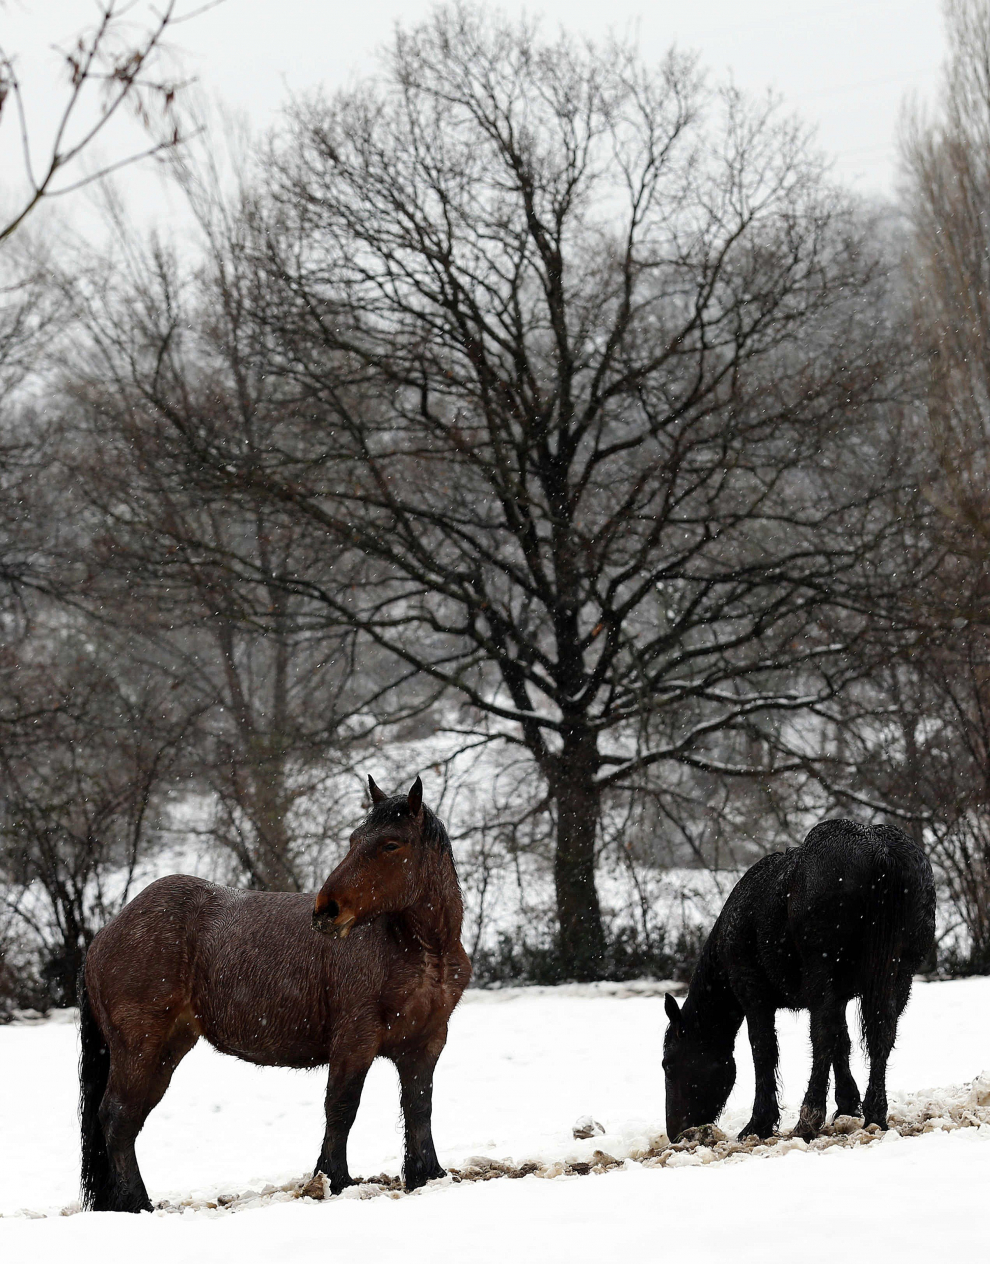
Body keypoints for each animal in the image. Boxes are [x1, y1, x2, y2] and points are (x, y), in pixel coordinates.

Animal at [77, 773, 472, 1208]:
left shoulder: (426, 1041)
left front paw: (428, 1175)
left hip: (166, 1048)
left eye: (390, 845)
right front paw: (333, 1179)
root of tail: (105, 934)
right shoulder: (355, 1040)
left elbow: (419, 1106)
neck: (422, 950)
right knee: (117, 1116)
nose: (327, 910)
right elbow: (342, 1107)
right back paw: (137, 1203)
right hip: (138, 1046)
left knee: (129, 1118)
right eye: (354, 840)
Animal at [662, 819, 935, 1147]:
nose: (675, 1134)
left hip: (823, 972)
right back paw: (875, 1114)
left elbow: (765, 1051)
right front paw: (848, 1106)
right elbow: (843, 1043)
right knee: (881, 1034)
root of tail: (880, 850)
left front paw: (759, 1123)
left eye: (667, 1064)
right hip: (900, 974)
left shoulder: (754, 996)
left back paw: (808, 1118)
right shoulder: (839, 996)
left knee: (822, 1037)